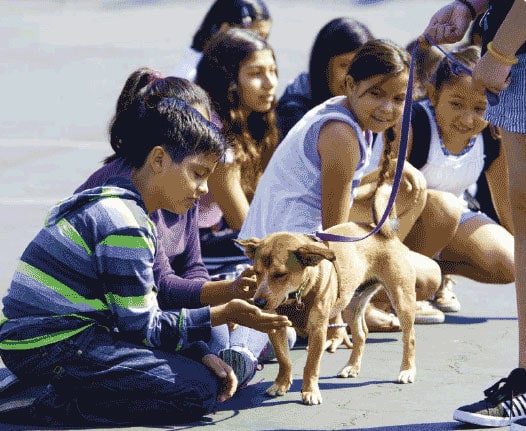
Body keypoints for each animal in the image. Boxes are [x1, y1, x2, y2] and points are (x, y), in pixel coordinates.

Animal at [238, 221, 416, 406]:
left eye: (280, 274)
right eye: (257, 272)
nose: (258, 302)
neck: (297, 294)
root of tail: (378, 229)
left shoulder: (318, 330)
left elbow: (311, 365)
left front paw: (310, 391)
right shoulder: (276, 327)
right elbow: (284, 360)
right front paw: (281, 384)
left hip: (401, 300)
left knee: (409, 338)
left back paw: (407, 370)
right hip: (352, 304)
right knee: (361, 334)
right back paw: (352, 366)